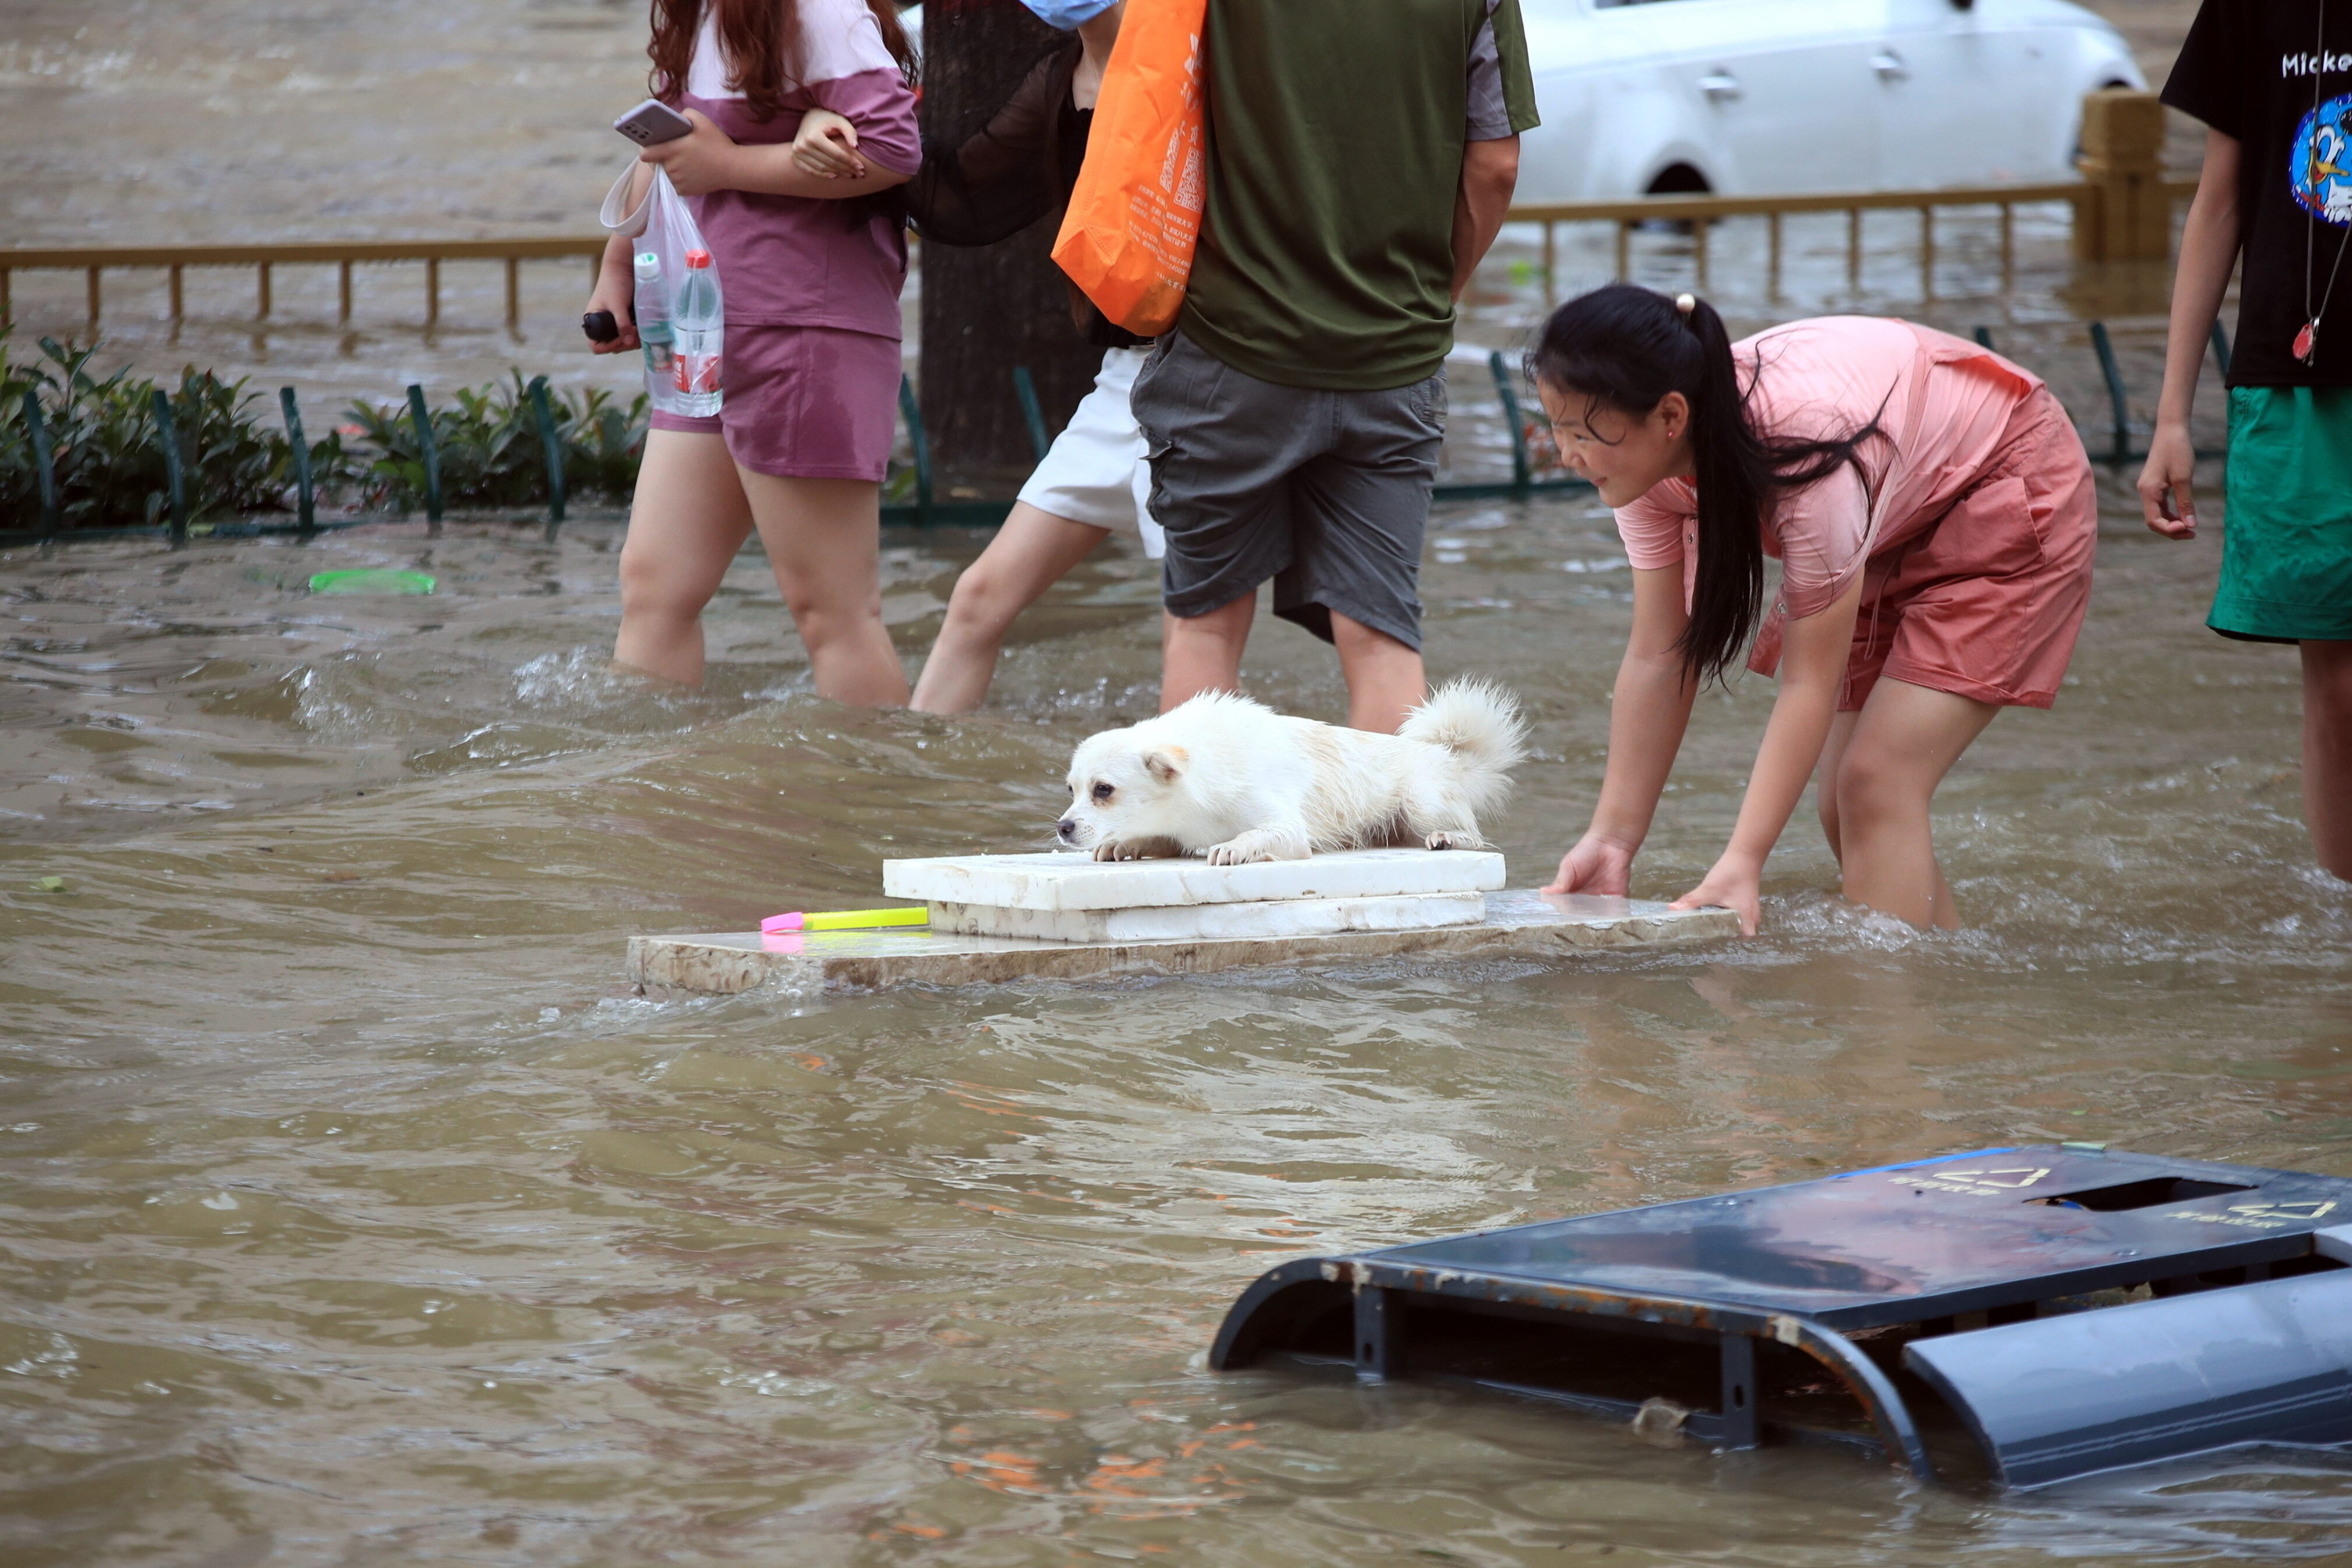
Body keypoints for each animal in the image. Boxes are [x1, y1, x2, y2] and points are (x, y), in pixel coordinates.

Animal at [1054, 677, 1524, 865]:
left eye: (1103, 789)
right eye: (1072, 790)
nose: (1063, 827)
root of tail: (1444, 756)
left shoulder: (1287, 830)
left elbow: (1255, 836)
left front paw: (1234, 848)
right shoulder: (1179, 829)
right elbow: (1155, 837)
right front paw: (1123, 844)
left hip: (1421, 801)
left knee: (1476, 838)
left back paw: (1448, 838)